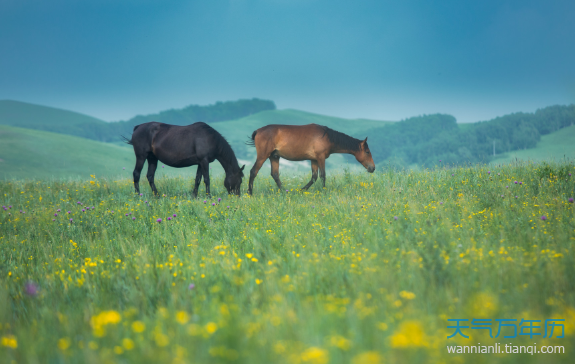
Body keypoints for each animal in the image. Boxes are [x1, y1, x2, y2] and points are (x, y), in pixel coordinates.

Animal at [245, 124, 376, 195]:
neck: (327, 136)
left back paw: (285, 191)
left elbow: (314, 177)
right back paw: (250, 193)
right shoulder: (320, 158)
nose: (373, 168)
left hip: (274, 157)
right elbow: (323, 175)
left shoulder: (314, 160)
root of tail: (258, 131)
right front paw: (323, 191)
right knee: (253, 172)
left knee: (275, 174)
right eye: (367, 152)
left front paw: (301, 190)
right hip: (263, 156)